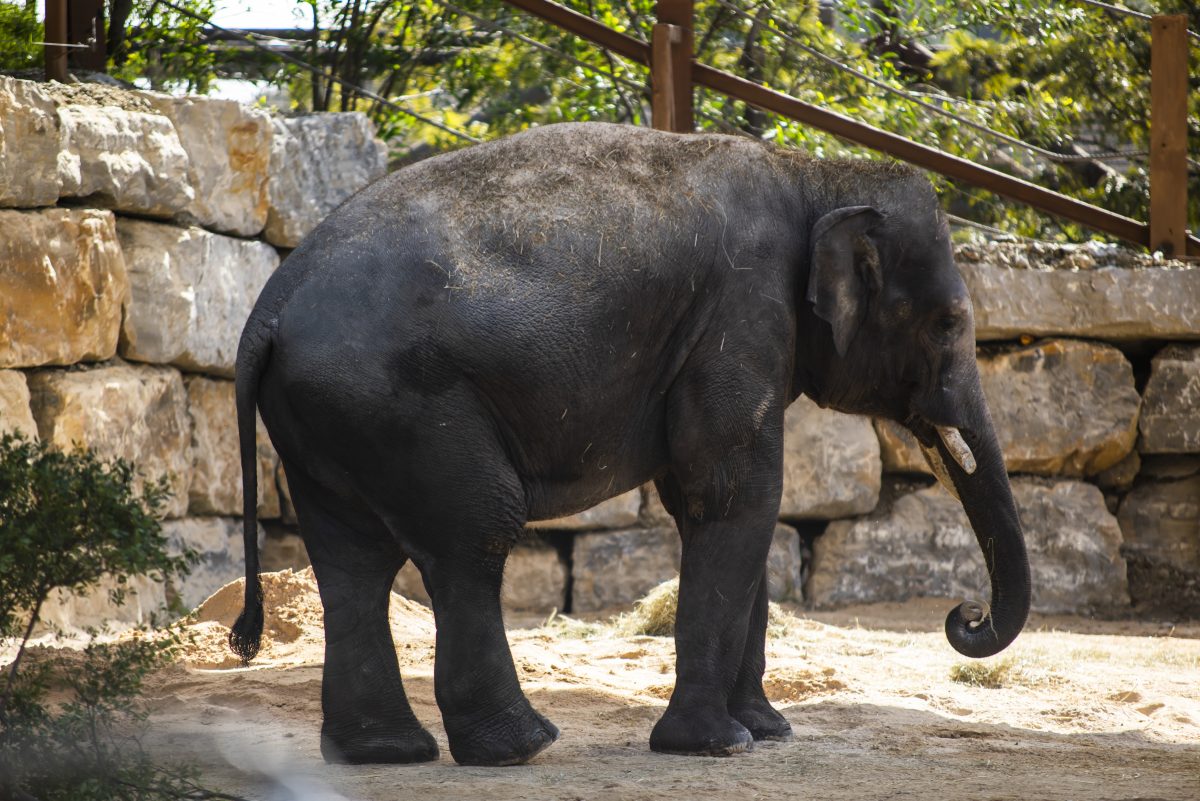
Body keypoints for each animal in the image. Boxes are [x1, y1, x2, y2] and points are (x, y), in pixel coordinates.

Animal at [227, 122, 1030, 767]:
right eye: (949, 322)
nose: (964, 615)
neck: (817, 173)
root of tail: (267, 308)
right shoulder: (742, 313)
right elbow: (734, 495)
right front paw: (717, 745)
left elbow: (717, 503)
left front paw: (767, 731)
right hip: (401, 403)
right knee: (474, 532)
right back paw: (521, 748)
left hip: (332, 417)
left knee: (352, 560)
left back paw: (384, 753)